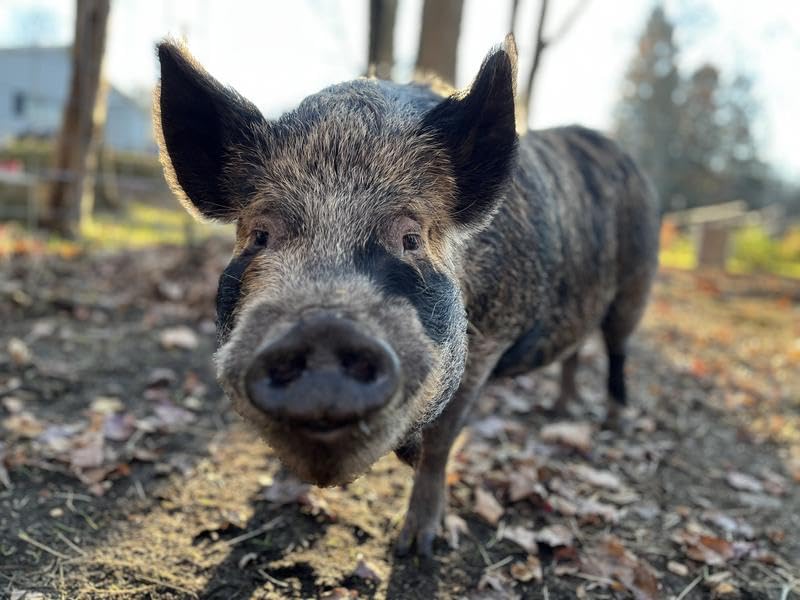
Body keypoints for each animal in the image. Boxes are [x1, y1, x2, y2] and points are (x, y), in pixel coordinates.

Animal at [154, 35, 659, 558]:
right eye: (259, 236)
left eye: (411, 238)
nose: (322, 327)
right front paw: (283, 493)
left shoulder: (488, 341)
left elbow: (440, 443)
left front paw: (416, 547)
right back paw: (560, 410)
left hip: (637, 283)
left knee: (617, 350)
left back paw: (614, 422)